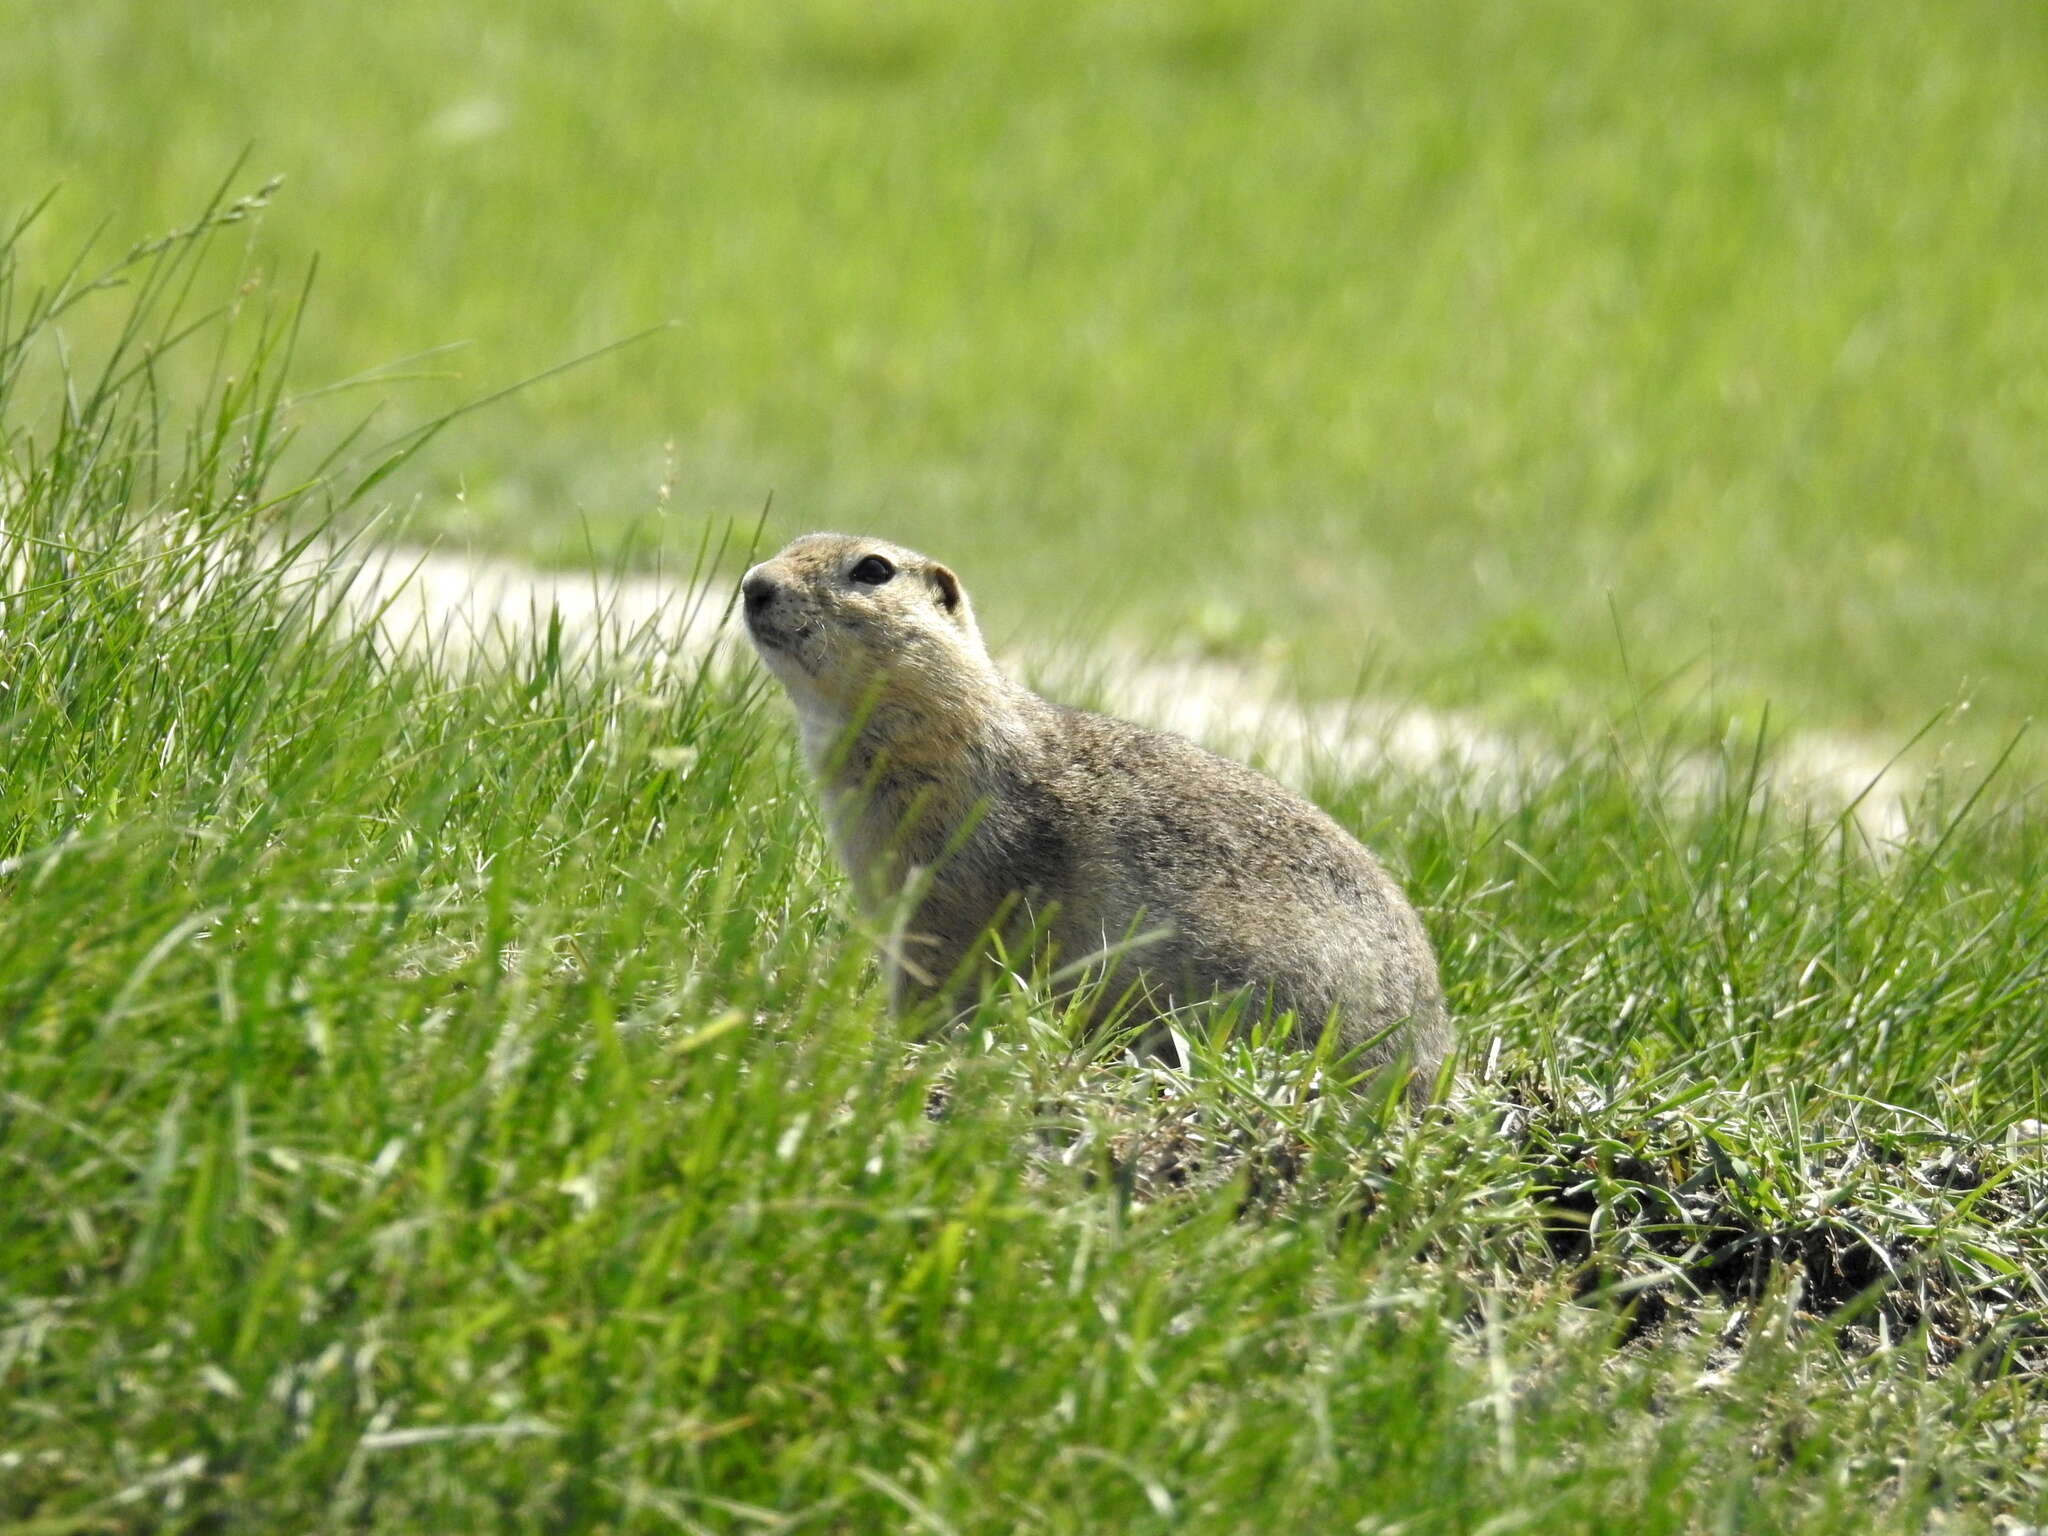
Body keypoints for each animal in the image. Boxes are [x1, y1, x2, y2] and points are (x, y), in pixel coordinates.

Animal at [745, 536, 1449, 1097]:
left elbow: (940, 965)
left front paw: (905, 1041)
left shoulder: (952, 882)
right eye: (793, 541)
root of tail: (1432, 1067)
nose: (753, 583)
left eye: (873, 569)